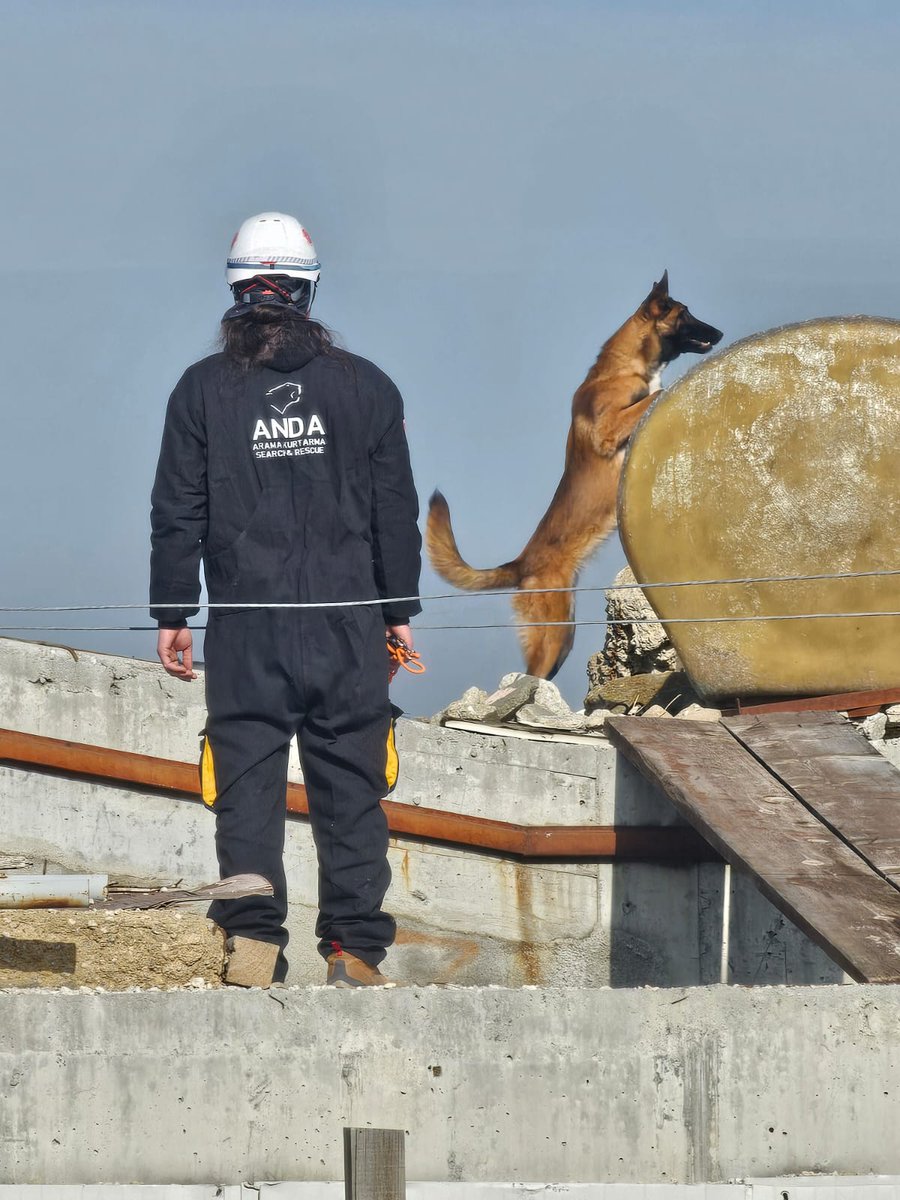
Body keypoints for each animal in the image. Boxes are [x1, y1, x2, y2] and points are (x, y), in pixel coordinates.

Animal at [429, 274, 724, 681]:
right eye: (685, 314)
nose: (721, 332)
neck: (624, 366)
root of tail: (521, 564)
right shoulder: (609, 429)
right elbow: (655, 393)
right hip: (552, 633)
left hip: (563, 633)